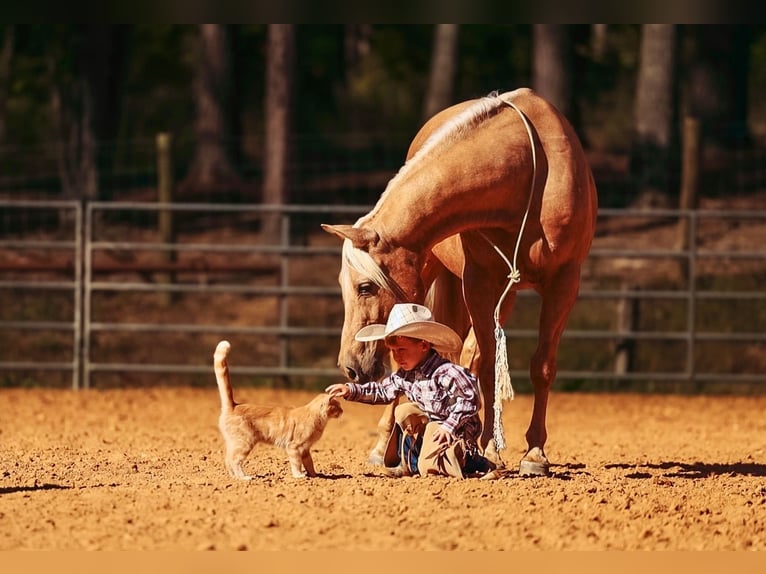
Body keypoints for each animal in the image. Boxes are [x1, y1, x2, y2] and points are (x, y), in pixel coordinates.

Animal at [321, 88, 597, 476]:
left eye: (365, 287)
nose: (349, 366)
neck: (527, 175)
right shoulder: (478, 282)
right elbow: (487, 365)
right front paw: (486, 446)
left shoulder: (564, 282)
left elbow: (540, 365)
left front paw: (534, 453)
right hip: (438, 277)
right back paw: (384, 447)